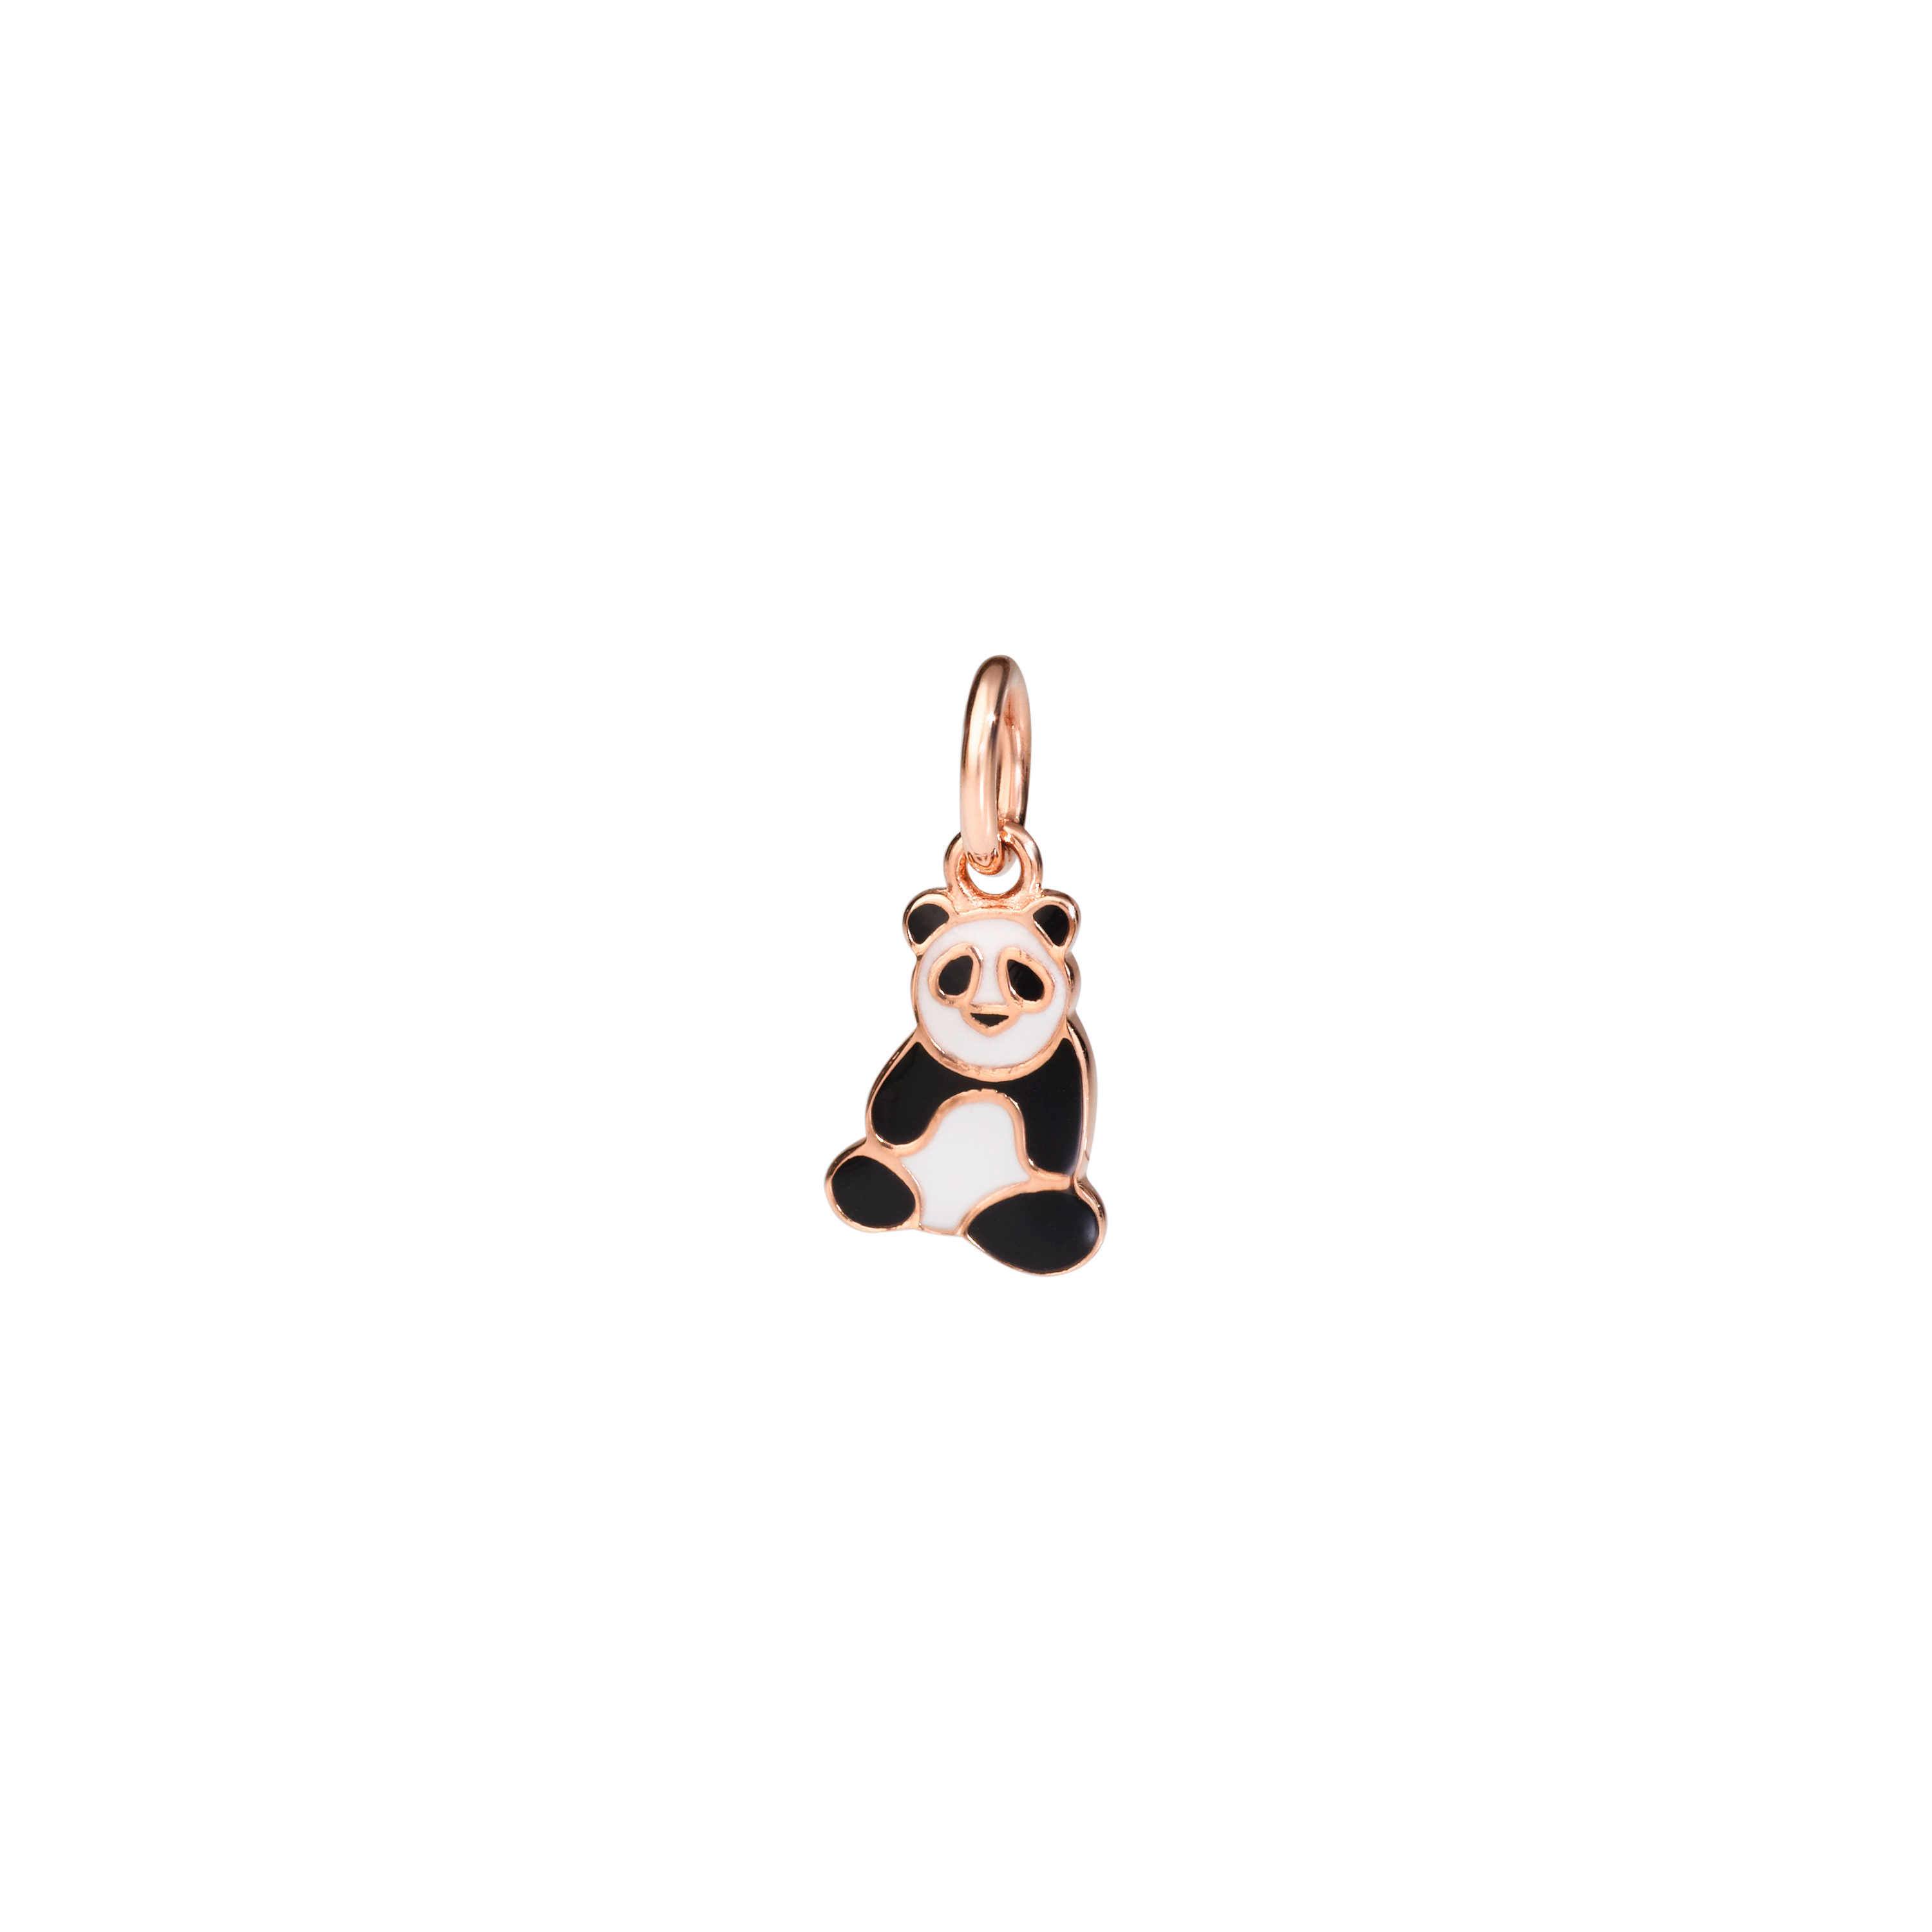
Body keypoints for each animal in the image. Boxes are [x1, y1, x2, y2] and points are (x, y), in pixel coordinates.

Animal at [825, 863, 1105, 1275]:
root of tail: (945, 1224)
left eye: (1020, 973)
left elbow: (1058, 1144)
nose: (988, 1012)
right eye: (959, 969)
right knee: (863, 1173)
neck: (985, 1064)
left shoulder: (1062, 1064)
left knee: (1060, 1221)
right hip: (891, 1169)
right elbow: (889, 1118)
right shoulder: (925, 1057)